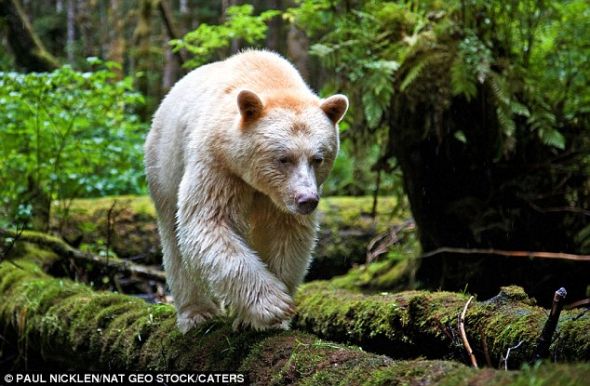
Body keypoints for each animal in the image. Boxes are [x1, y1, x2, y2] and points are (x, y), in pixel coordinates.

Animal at [145, 49, 346, 332]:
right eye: (283, 158)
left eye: (318, 158)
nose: (306, 200)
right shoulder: (218, 164)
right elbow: (209, 222)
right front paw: (273, 304)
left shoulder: (280, 200)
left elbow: (287, 235)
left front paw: (265, 318)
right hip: (164, 166)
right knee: (174, 239)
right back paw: (196, 312)